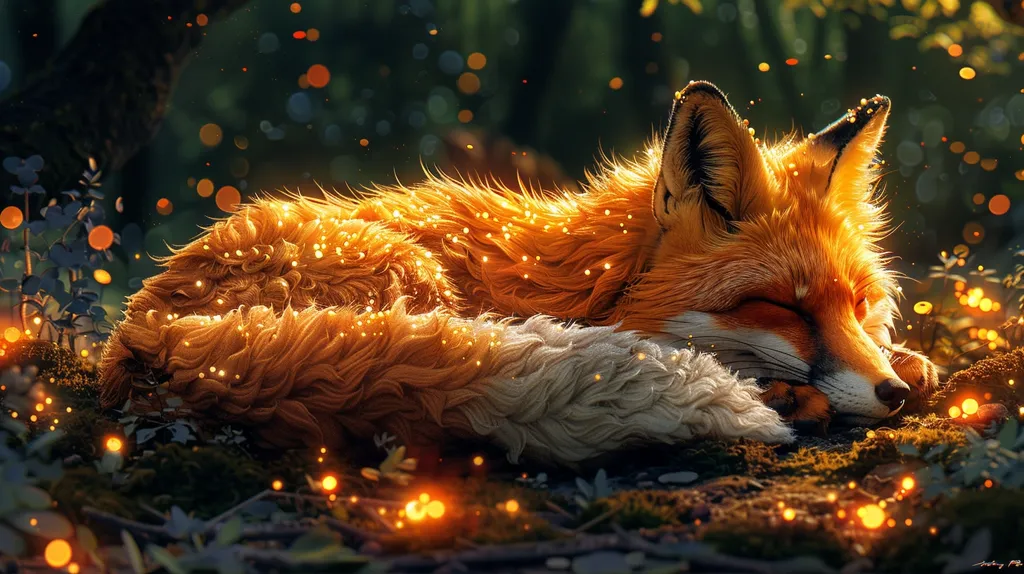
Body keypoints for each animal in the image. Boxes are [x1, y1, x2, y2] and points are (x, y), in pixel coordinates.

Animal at [99, 81, 938, 464]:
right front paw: (797, 391)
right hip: (410, 280)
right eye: (781, 309)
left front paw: (907, 360)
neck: (585, 283)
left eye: (859, 305)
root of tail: (148, 328)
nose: (890, 397)